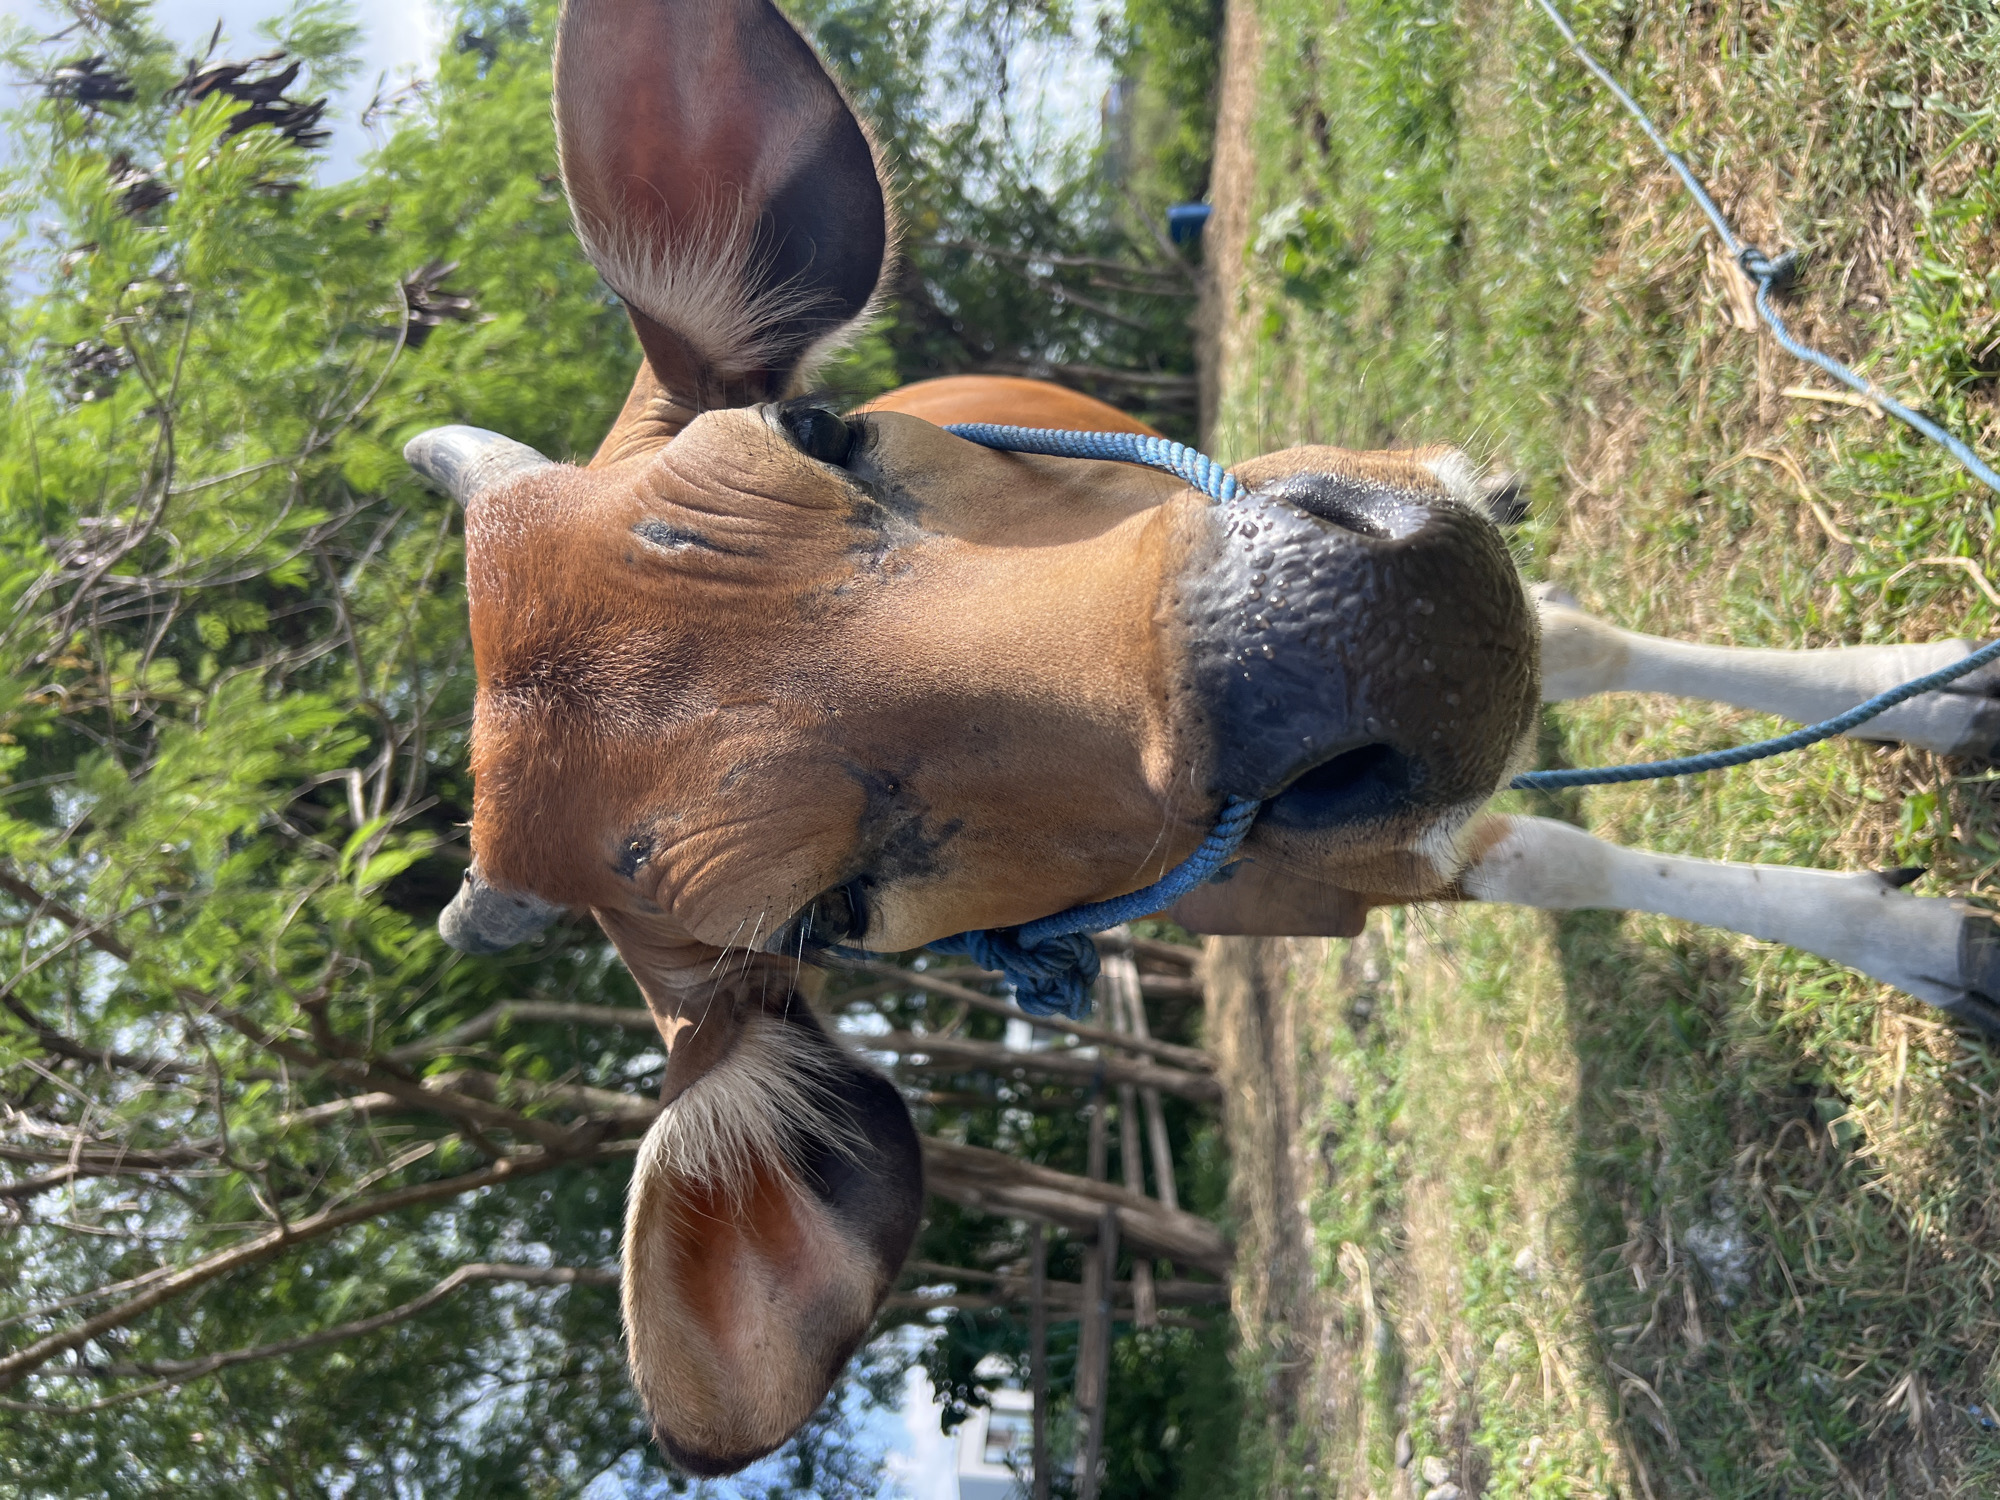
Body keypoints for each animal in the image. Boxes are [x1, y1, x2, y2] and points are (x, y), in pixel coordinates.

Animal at [403, 0, 2000, 1473]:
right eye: (826, 914)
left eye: (821, 428)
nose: (1332, 640)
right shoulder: (1337, 875)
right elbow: (1551, 856)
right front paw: (1925, 940)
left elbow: (1586, 644)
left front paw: (1930, 688)